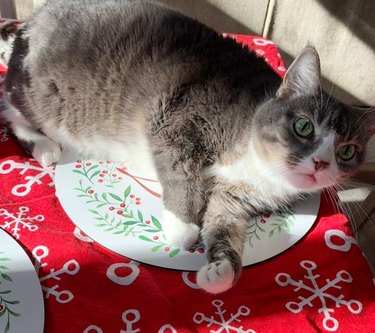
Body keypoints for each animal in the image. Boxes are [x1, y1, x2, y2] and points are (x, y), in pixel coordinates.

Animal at [1, 0, 374, 294]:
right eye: (303, 126)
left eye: (347, 151)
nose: (321, 163)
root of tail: (32, 22)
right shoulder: (177, 122)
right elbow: (183, 174)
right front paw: (182, 228)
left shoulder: (233, 202)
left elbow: (224, 228)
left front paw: (220, 272)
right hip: (41, 96)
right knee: (9, 106)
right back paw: (44, 146)